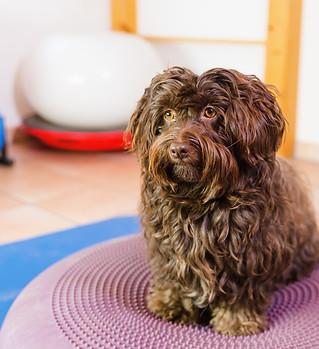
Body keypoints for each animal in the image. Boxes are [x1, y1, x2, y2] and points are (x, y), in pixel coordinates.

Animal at [127, 66, 319, 336]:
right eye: (168, 114)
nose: (178, 149)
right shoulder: (169, 243)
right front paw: (173, 304)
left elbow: (240, 290)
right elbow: (175, 274)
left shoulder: (248, 251)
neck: (199, 200)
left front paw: (236, 321)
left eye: (210, 112)